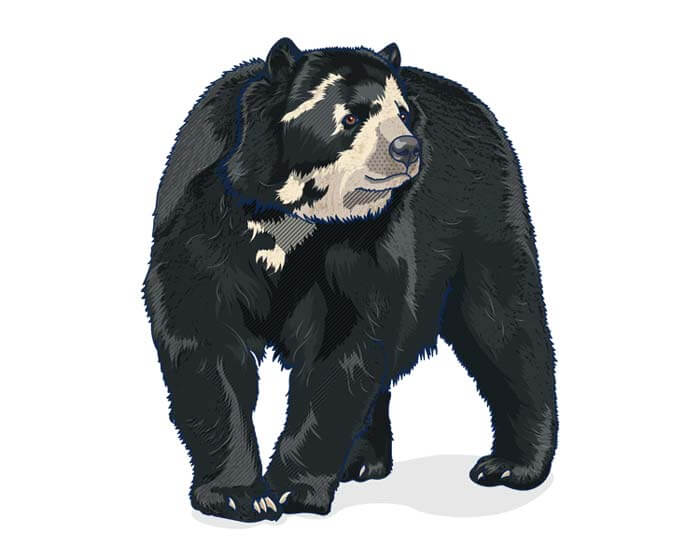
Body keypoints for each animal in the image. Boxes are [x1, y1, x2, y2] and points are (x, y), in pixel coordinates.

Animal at [144, 38, 557, 522]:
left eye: (403, 113)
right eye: (351, 116)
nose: (407, 148)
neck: (288, 217)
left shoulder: (362, 243)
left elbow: (343, 346)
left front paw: (293, 489)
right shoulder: (202, 222)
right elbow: (203, 337)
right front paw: (237, 493)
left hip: (483, 213)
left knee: (502, 322)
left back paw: (512, 465)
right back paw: (363, 460)